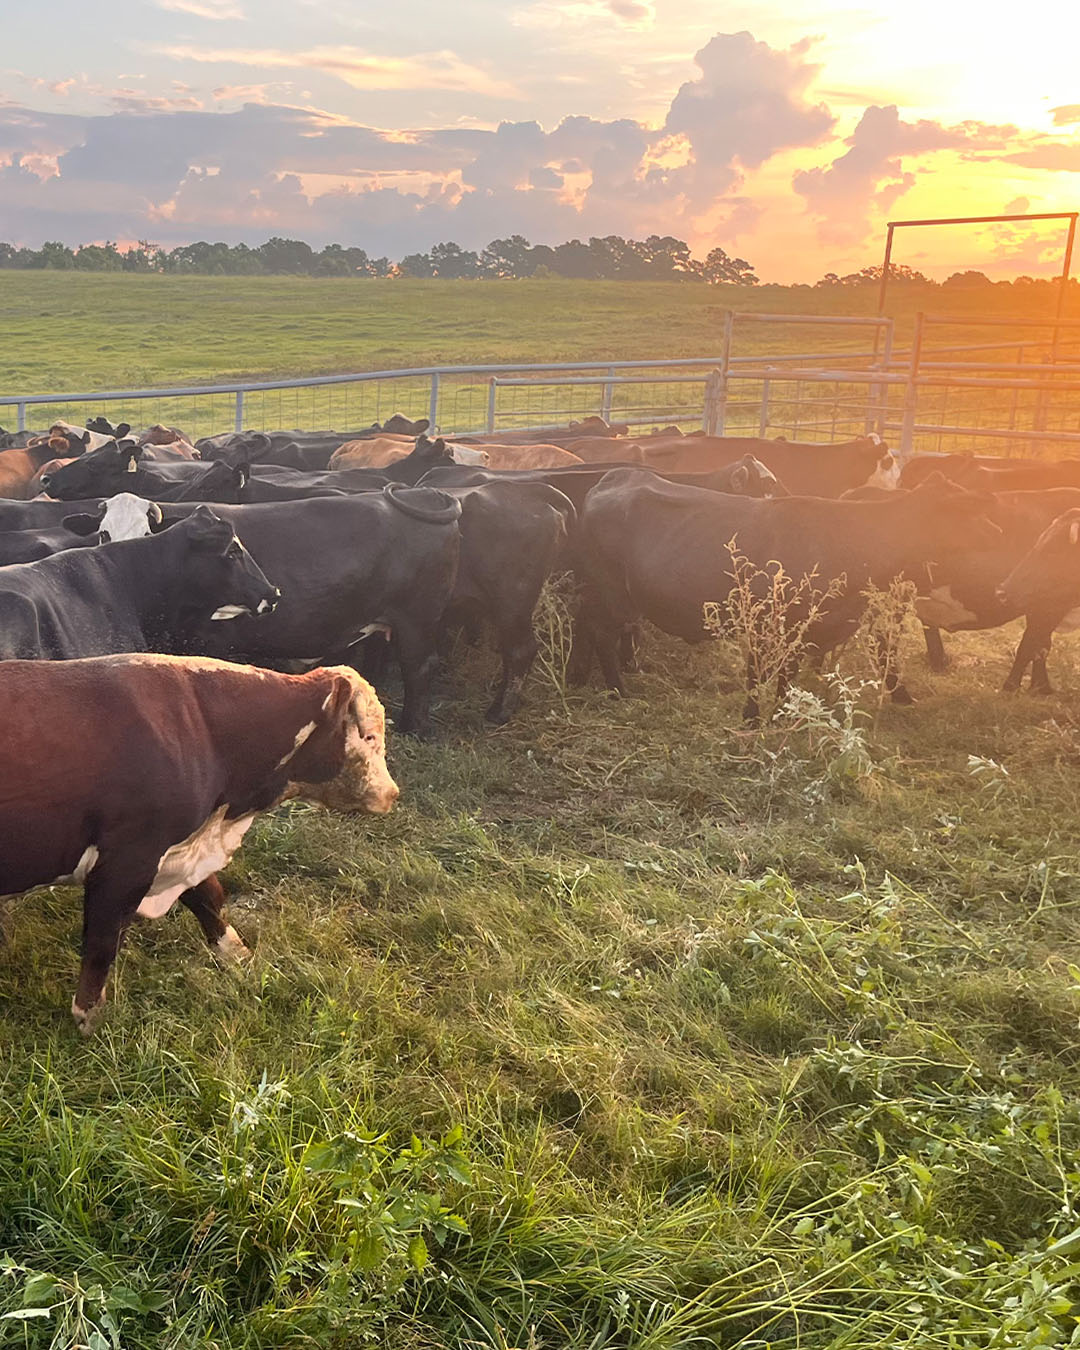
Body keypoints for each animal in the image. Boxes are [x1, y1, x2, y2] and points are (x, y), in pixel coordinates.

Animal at [0, 654, 397, 1031]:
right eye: (369, 736)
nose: (392, 793)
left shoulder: (180, 850)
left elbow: (209, 898)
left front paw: (239, 956)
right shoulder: (128, 860)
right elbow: (103, 940)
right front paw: (89, 1016)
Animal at [571, 469, 1001, 719]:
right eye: (965, 512)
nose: (998, 530)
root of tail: (614, 477)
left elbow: (783, 676)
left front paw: (779, 709)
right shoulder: (772, 624)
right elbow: (762, 673)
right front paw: (754, 716)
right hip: (609, 594)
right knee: (602, 635)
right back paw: (616, 690)